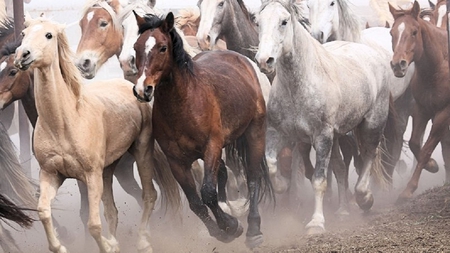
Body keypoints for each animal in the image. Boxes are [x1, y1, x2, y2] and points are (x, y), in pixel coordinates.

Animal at [14, 16, 180, 252]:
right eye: (23, 33)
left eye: (49, 35)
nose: (22, 55)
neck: (64, 123)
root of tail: (131, 87)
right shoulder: (51, 174)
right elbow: (44, 212)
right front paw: (61, 247)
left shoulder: (91, 176)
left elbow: (93, 224)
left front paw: (108, 247)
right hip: (108, 170)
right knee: (112, 210)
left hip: (141, 151)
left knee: (149, 195)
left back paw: (143, 241)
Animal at [132, 12, 272, 249]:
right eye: (136, 47)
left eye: (162, 47)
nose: (143, 89)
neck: (184, 105)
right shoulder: (176, 161)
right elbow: (196, 202)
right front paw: (222, 231)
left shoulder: (212, 147)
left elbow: (207, 193)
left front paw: (231, 225)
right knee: (223, 173)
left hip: (255, 132)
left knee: (253, 177)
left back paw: (254, 230)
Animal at [256, 0, 390, 234]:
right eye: (258, 22)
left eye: (284, 21)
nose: (265, 61)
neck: (298, 87)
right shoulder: (279, 132)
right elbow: (271, 163)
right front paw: (282, 184)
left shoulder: (321, 137)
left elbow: (319, 180)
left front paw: (316, 223)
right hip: (336, 137)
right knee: (341, 168)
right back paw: (343, 211)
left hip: (372, 123)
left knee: (368, 155)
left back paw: (365, 198)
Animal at [388, 0, 448, 202]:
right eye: (392, 33)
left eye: (414, 32)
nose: (398, 65)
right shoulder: (422, 110)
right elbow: (415, 143)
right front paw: (432, 165)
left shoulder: (443, 113)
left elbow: (428, 147)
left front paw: (409, 189)